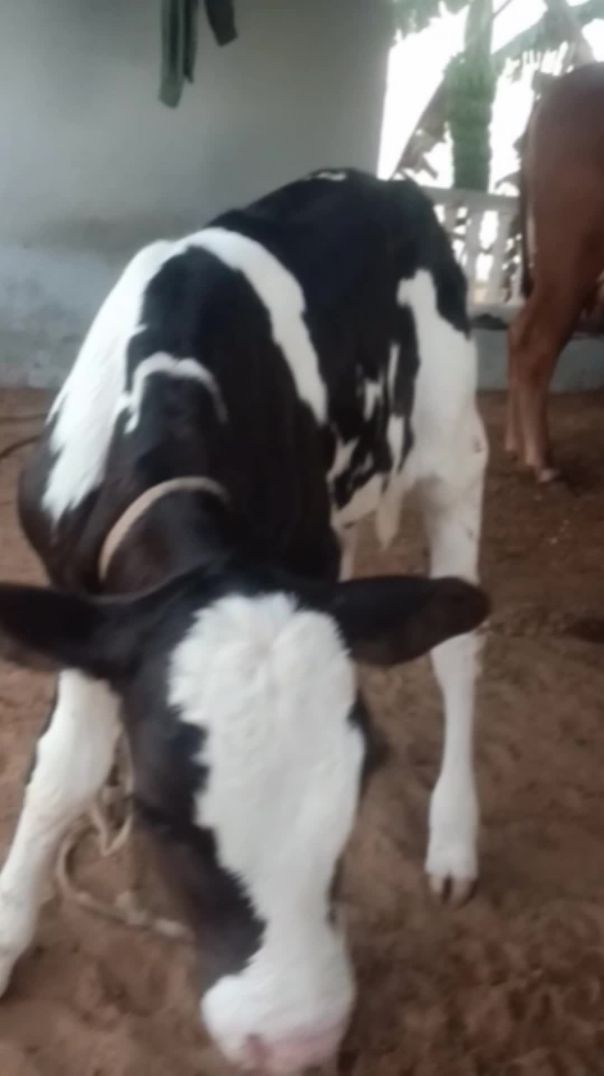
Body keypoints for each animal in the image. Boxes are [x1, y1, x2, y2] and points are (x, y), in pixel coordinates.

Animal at [0, 168, 489, 1075]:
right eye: (157, 815)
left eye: (356, 788)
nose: (295, 1037)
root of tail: (388, 183)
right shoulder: (84, 605)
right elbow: (59, 776)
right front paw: (8, 932)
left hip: (454, 449)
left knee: (458, 653)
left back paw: (453, 837)